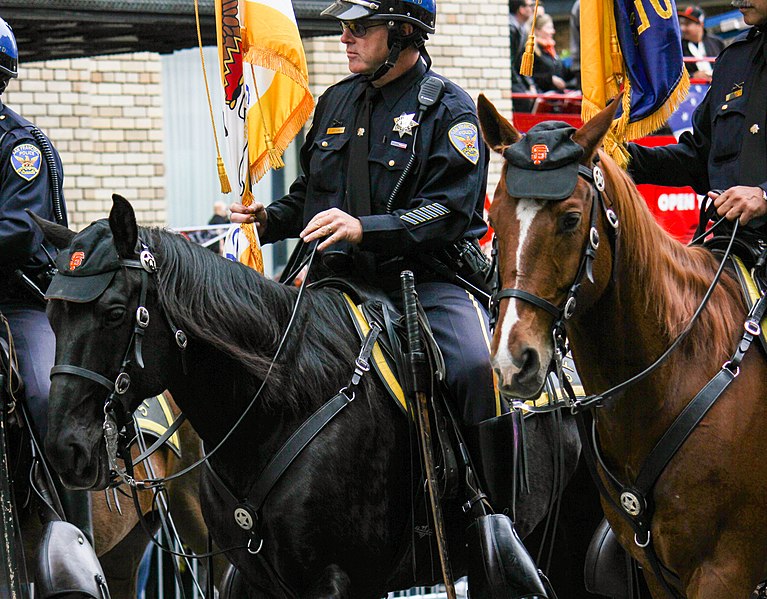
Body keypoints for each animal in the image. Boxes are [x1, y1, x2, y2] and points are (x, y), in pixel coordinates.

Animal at [36, 198, 576, 599]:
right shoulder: (256, 578)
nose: (65, 447)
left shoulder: (337, 580)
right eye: (51, 314)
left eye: (113, 312)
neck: (280, 405)